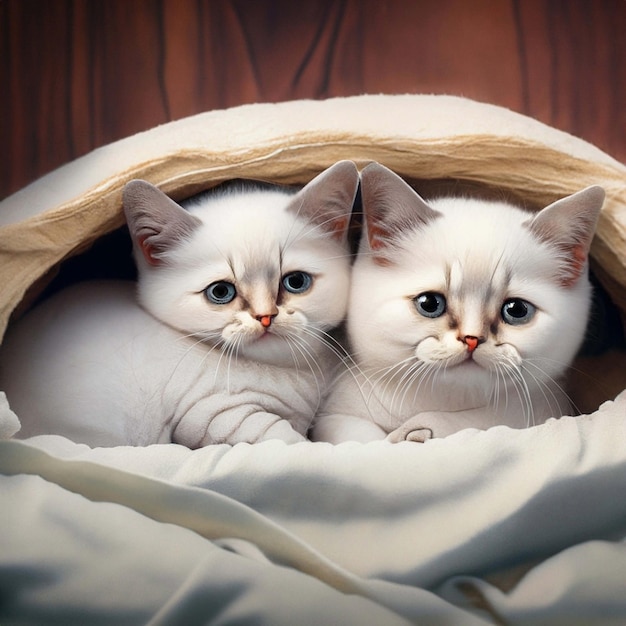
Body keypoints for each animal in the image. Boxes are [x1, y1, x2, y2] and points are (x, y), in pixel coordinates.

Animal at [0, 161, 358, 444]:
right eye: (220, 292)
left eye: (295, 282)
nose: (265, 316)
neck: (289, 371)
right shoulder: (213, 414)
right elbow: (286, 440)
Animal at [314, 163, 604, 442]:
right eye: (430, 303)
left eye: (517, 310)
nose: (472, 339)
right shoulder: (337, 414)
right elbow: (365, 439)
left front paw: (417, 432)